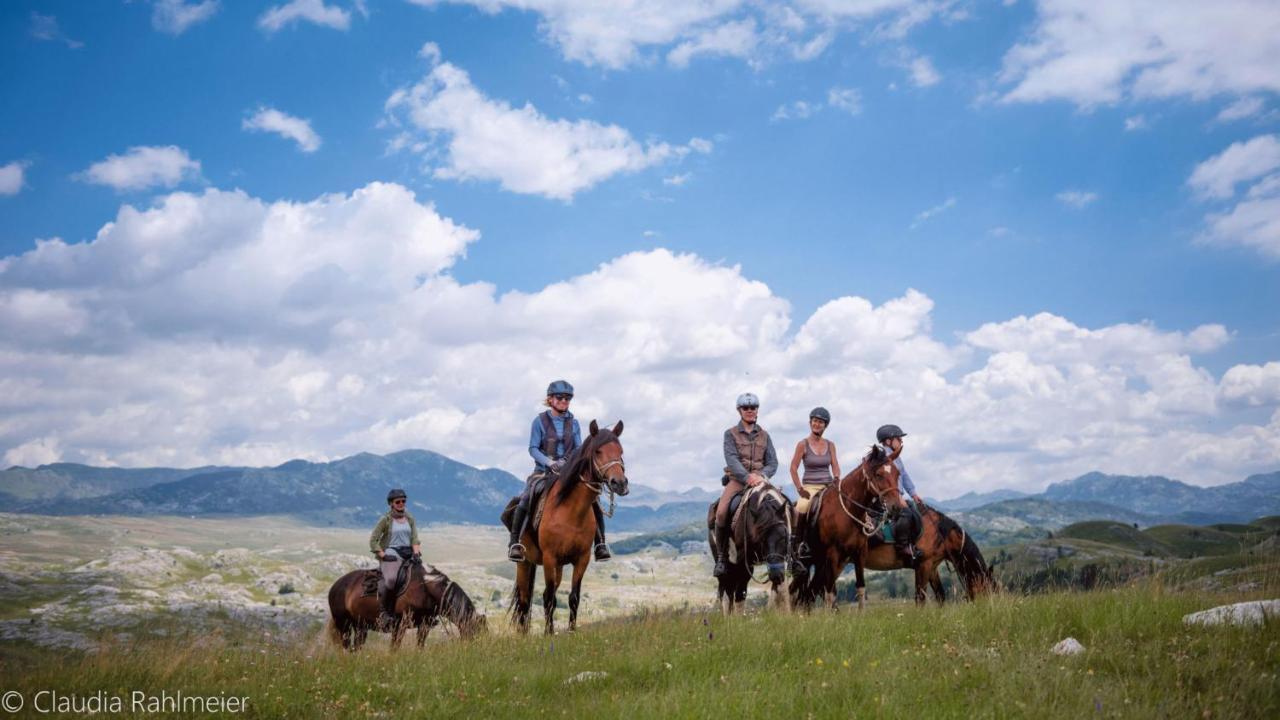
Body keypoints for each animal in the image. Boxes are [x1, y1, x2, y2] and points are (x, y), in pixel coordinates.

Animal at [327, 550, 486, 648]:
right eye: (475, 632)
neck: (426, 588)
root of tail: (335, 586)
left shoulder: (424, 625)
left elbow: (420, 646)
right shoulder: (400, 625)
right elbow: (394, 648)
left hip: (361, 627)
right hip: (344, 625)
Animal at [504, 417, 624, 630]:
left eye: (621, 451)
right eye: (598, 451)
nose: (620, 483)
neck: (571, 512)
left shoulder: (581, 559)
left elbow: (573, 597)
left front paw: (571, 630)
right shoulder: (550, 557)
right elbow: (549, 599)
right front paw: (548, 633)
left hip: (557, 567)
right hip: (525, 563)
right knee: (525, 602)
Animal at [706, 481, 793, 609]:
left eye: (784, 536)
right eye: (762, 539)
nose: (776, 575)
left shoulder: (783, 560)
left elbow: (781, 591)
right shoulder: (743, 563)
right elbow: (740, 594)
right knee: (726, 592)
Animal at [783, 445, 906, 607]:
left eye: (897, 474)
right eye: (879, 475)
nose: (896, 508)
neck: (848, 510)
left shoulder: (860, 553)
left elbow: (860, 588)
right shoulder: (832, 555)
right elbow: (830, 593)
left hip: (820, 562)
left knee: (808, 594)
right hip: (806, 562)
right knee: (793, 590)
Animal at [860, 502, 998, 602]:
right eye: (987, 589)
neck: (941, 534)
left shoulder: (932, 567)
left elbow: (940, 595)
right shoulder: (923, 566)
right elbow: (920, 597)